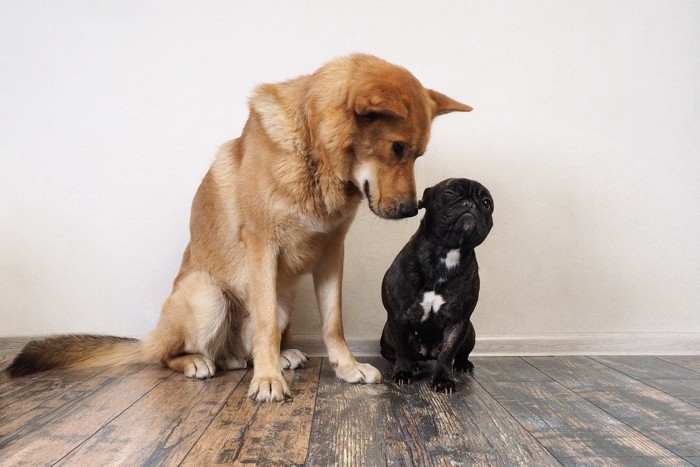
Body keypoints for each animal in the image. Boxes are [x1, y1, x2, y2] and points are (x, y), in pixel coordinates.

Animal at [6, 54, 470, 402]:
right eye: (397, 148)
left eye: (417, 154)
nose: (412, 209)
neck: (311, 149)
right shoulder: (262, 247)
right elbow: (263, 325)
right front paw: (267, 381)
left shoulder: (332, 252)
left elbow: (332, 322)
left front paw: (348, 368)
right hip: (208, 295)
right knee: (170, 355)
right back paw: (202, 361)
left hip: (282, 299)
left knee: (243, 350)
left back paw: (270, 357)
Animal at [382, 179, 492, 394]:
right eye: (449, 193)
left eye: (486, 203)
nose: (470, 204)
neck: (446, 253)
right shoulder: (397, 317)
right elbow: (402, 351)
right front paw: (403, 372)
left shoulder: (458, 321)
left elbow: (447, 355)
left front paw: (443, 380)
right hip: (387, 335)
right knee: (394, 354)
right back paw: (412, 366)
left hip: (470, 331)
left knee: (459, 354)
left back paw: (463, 364)